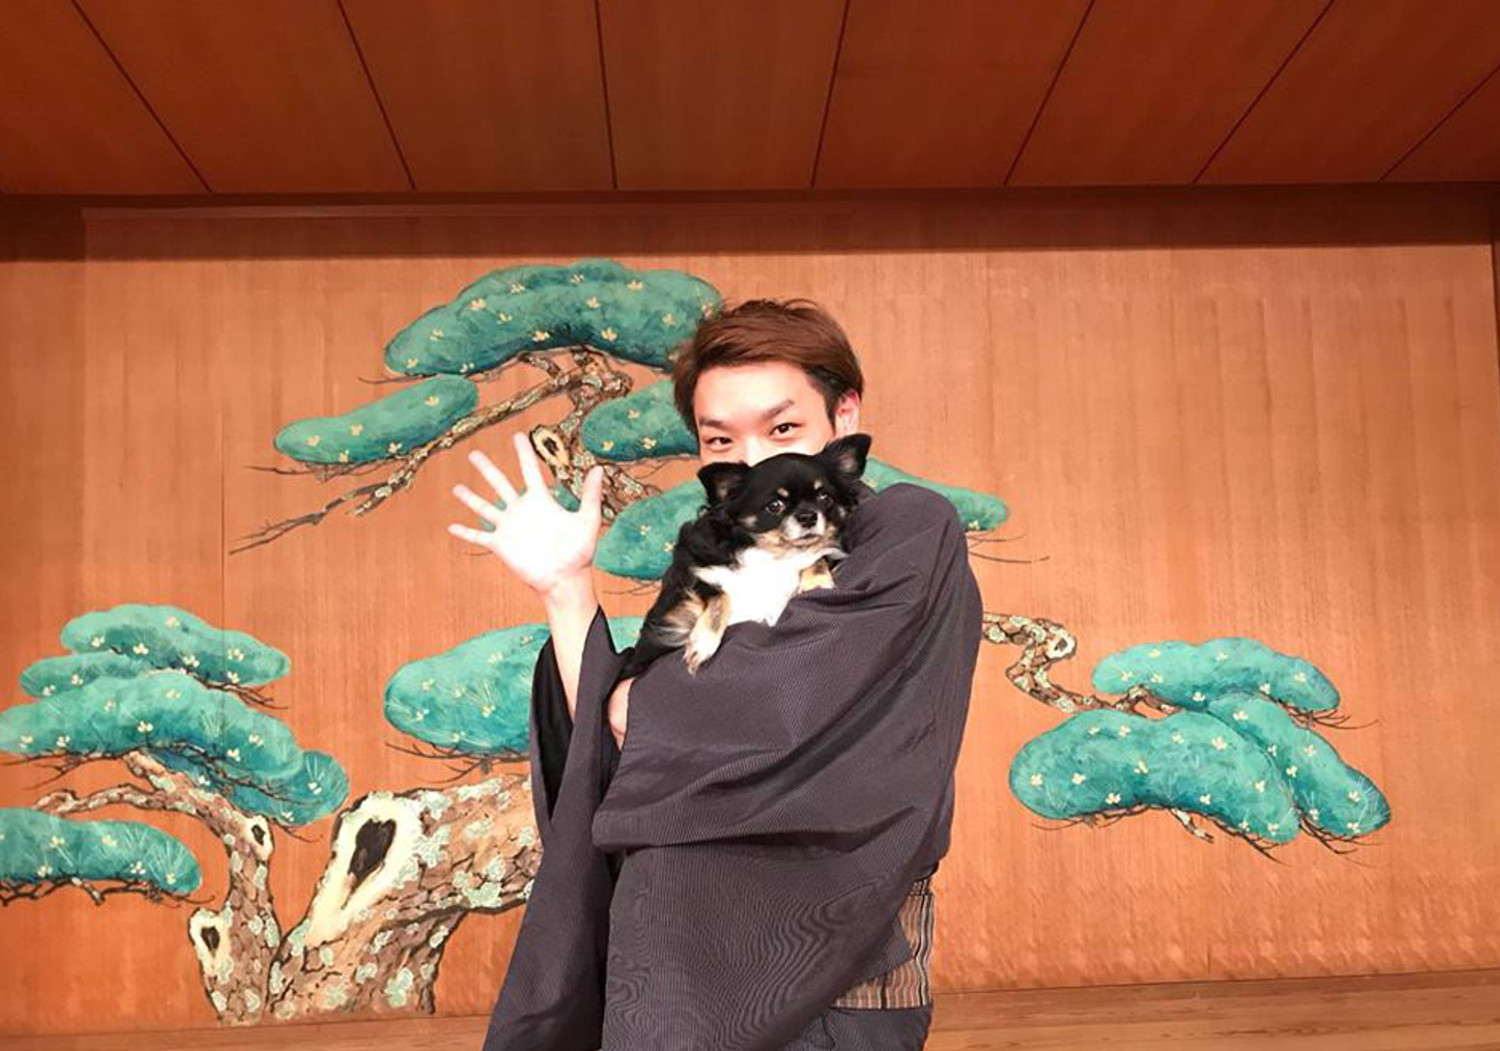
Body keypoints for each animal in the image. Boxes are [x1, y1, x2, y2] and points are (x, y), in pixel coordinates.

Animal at [616, 432, 873, 681]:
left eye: (825, 498)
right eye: (774, 506)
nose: (808, 516)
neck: (774, 554)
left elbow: (817, 556)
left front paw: (817, 582)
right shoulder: (681, 601)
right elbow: (719, 594)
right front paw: (703, 643)